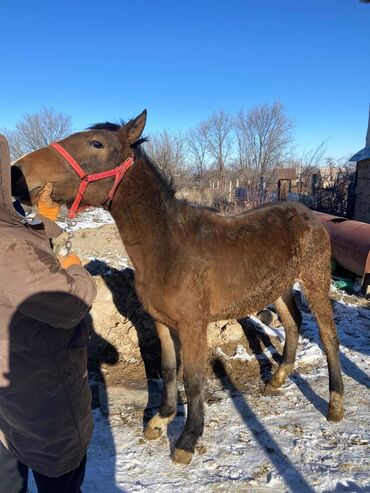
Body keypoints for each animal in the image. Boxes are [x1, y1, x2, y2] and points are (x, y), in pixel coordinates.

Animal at [11, 109, 344, 464]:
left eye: (96, 143)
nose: (19, 173)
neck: (168, 246)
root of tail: (308, 213)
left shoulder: (193, 326)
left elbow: (194, 379)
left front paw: (187, 440)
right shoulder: (162, 323)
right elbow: (170, 369)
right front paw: (160, 420)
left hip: (314, 281)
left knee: (328, 335)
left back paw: (335, 404)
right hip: (277, 288)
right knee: (293, 323)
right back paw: (277, 379)